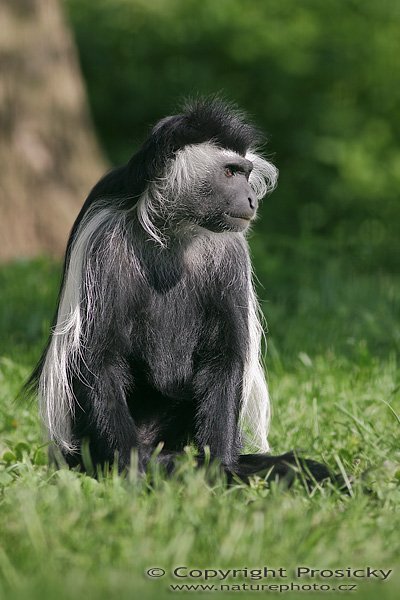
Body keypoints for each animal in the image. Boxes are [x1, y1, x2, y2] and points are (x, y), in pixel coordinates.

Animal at [25, 96, 332, 486]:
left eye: (246, 173)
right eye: (230, 172)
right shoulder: (104, 244)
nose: (250, 198)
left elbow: (224, 355)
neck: (175, 230)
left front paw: (220, 467)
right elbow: (97, 358)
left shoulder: (230, 252)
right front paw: (134, 467)